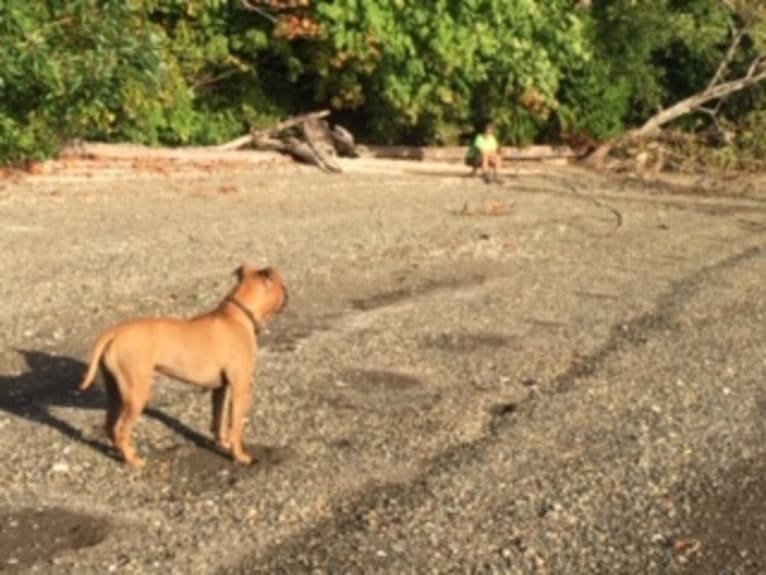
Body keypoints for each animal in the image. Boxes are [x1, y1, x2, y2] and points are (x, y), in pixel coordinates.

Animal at [79, 266, 288, 468]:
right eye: (283, 285)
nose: (288, 294)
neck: (237, 316)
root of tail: (114, 332)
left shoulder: (220, 388)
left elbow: (218, 420)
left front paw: (222, 443)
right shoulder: (240, 389)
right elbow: (236, 427)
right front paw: (240, 456)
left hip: (116, 392)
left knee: (110, 426)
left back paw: (120, 452)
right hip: (136, 394)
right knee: (121, 430)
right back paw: (133, 460)